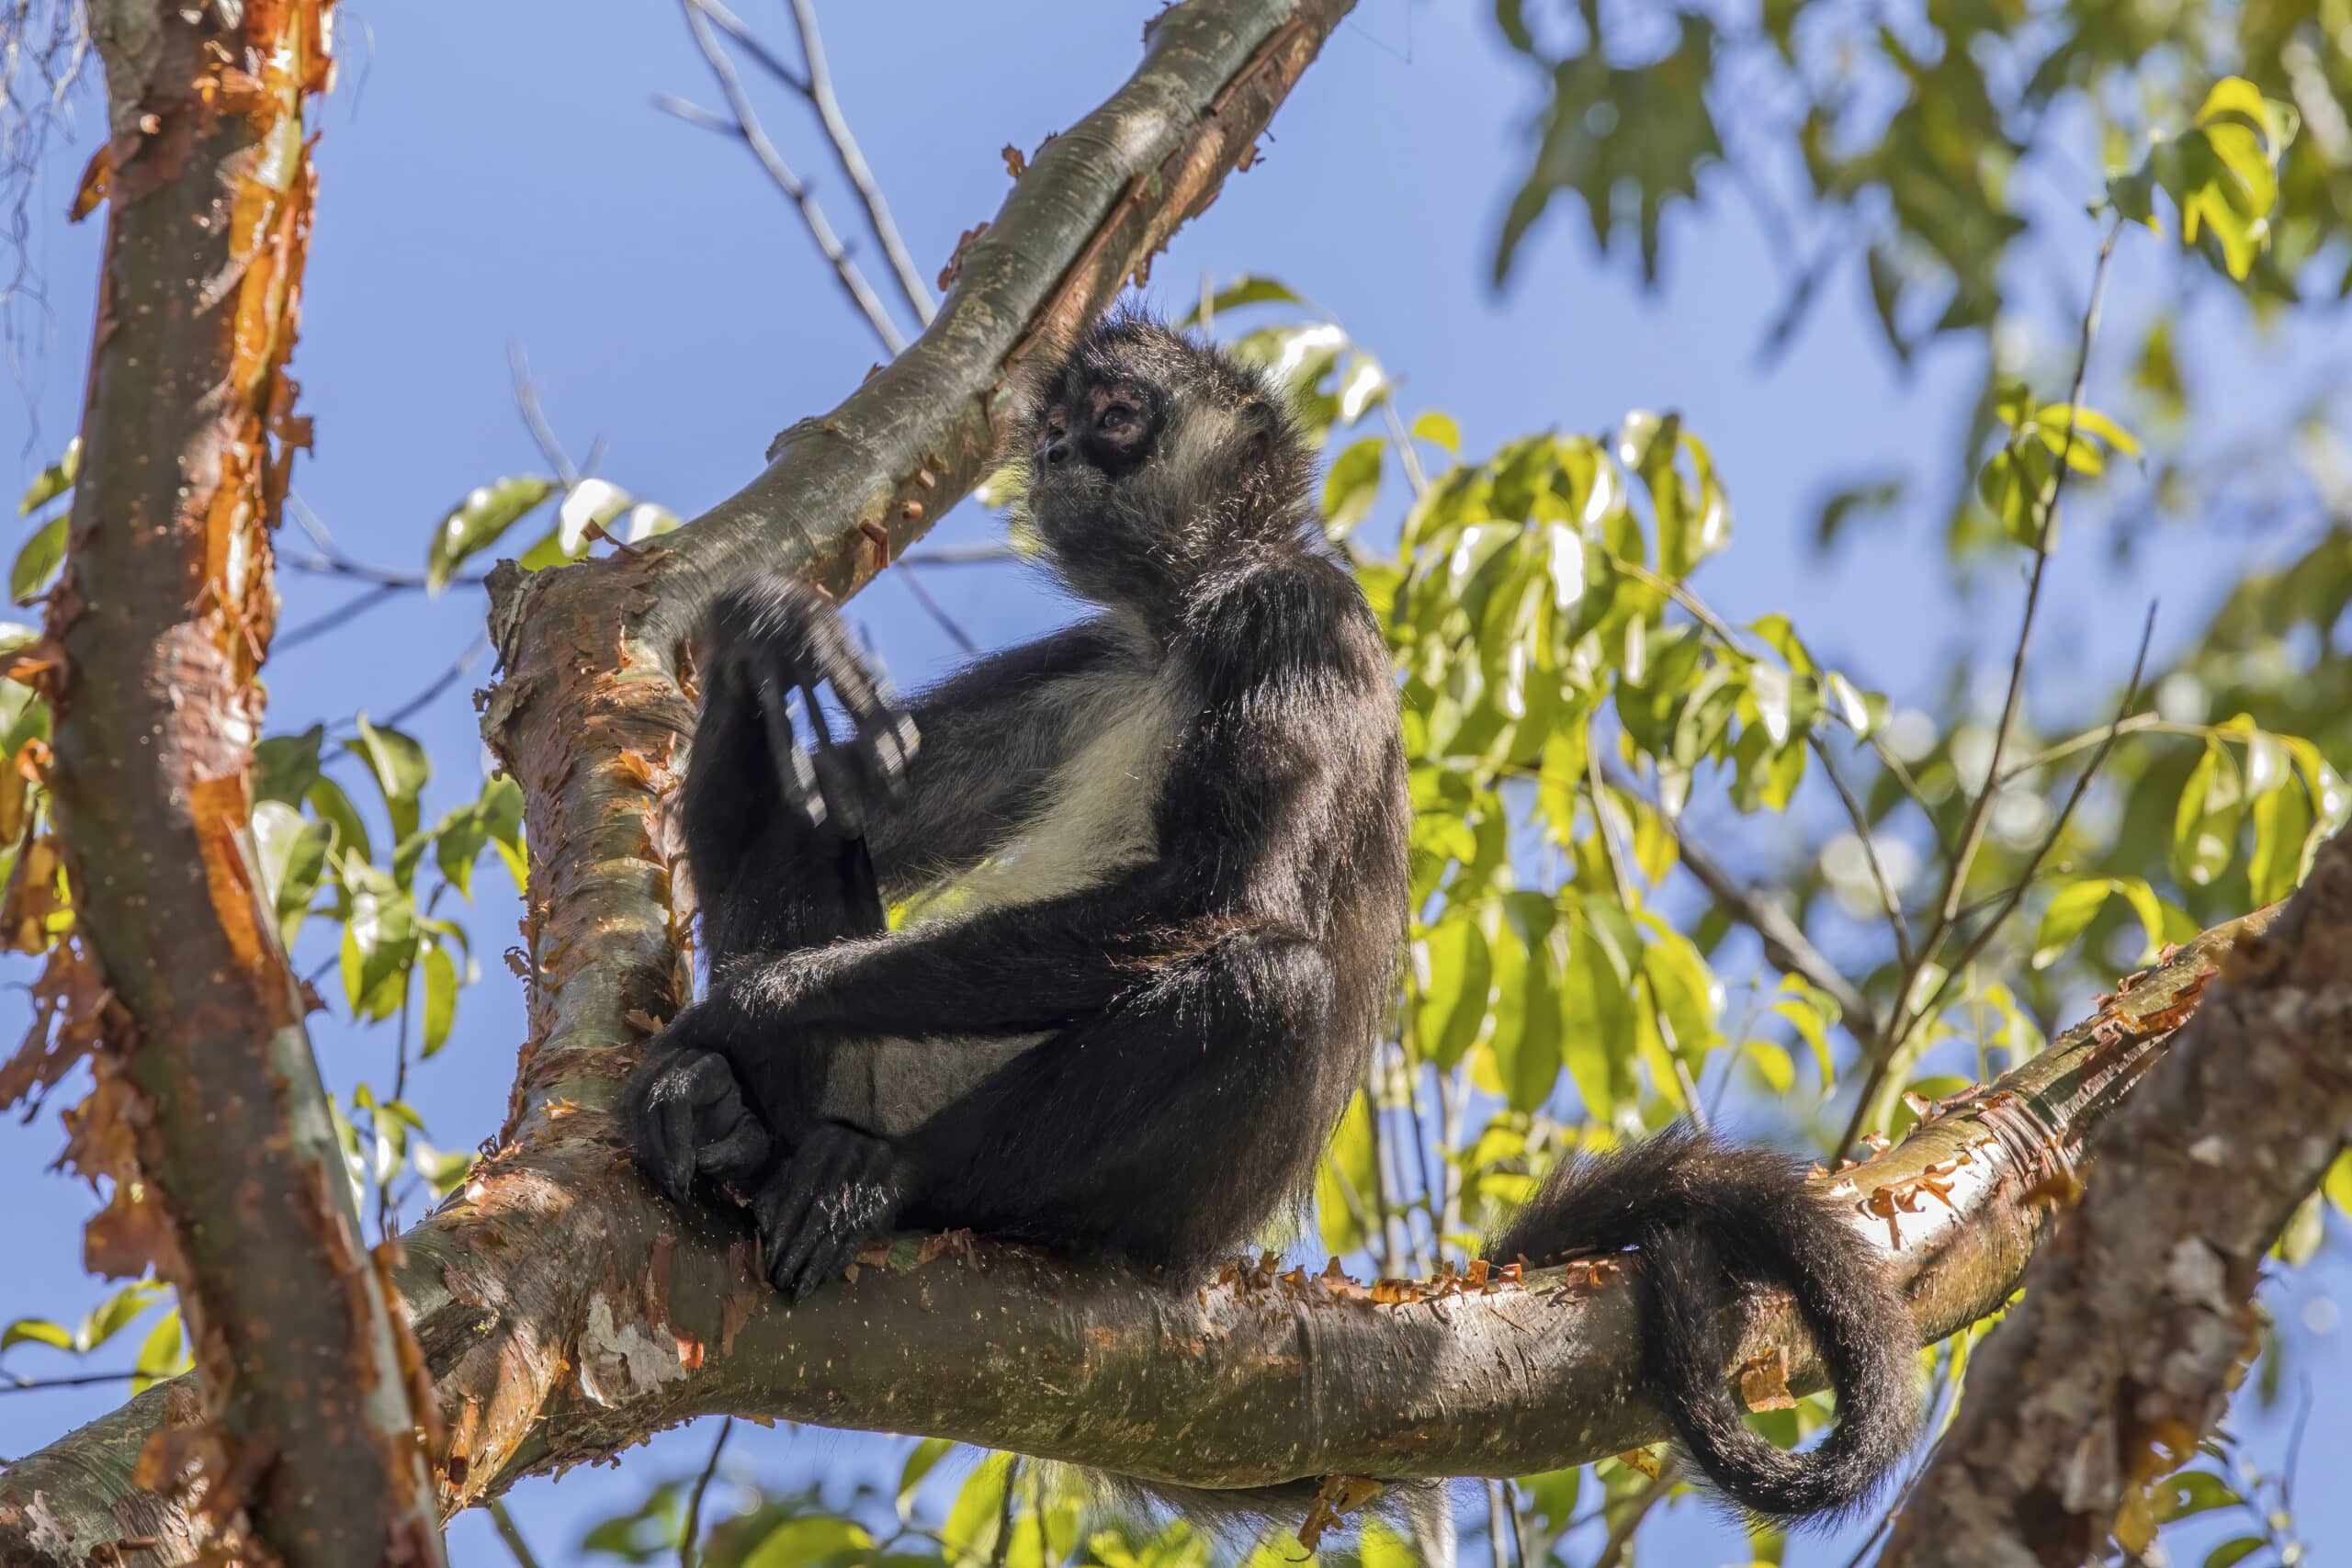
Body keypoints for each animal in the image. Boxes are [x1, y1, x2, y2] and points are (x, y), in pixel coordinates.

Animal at [626, 311, 1920, 1530]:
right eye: (1060, 423)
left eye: (1114, 416)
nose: (1055, 451)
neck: (1184, 625)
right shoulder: (1091, 657)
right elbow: (844, 801)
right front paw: (770, 624)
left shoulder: (1301, 612)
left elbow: (1217, 903)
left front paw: (753, 1004)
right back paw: (740, 1124)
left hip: (1164, 1208)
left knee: (1266, 981)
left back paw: (879, 1175)